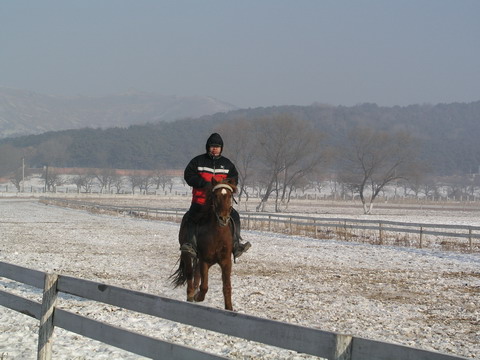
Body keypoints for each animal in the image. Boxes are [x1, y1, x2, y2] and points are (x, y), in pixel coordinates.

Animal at [172, 176, 237, 310]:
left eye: (229, 196)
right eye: (215, 196)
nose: (223, 218)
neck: (217, 234)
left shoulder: (226, 261)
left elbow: (227, 286)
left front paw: (229, 308)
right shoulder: (204, 260)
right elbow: (204, 286)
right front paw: (198, 297)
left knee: (196, 274)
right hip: (187, 255)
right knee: (190, 274)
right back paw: (191, 295)